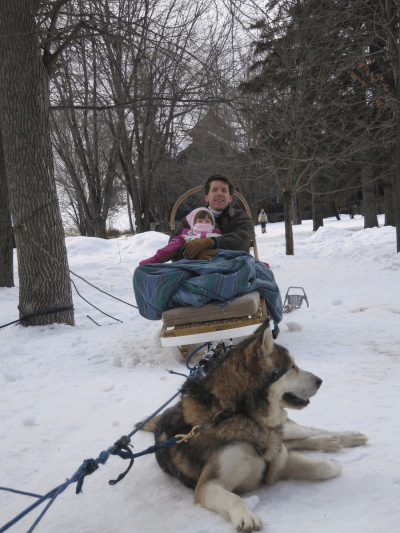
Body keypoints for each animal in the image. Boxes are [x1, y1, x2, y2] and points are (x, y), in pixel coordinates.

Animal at [155, 318, 368, 528]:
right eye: (292, 367)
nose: (320, 380)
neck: (235, 412)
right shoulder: (208, 485)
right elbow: (233, 498)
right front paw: (245, 515)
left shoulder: (278, 460)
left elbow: (321, 466)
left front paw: (333, 463)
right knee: (299, 439)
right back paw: (331, 442)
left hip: (287, 432)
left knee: (308, 430)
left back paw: (348, 437)